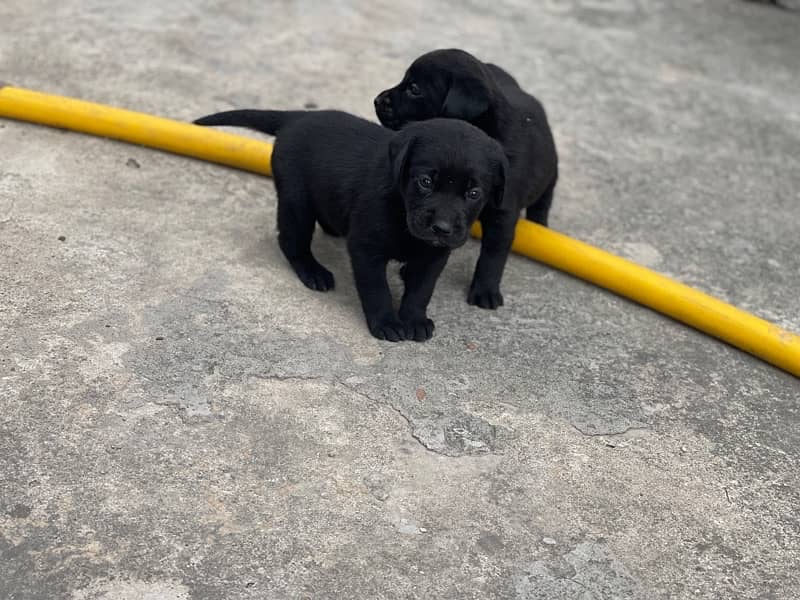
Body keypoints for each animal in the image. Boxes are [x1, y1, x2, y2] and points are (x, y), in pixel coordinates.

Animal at [194, 108, 506, 342]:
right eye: (425, 181)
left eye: (473, 193)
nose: (441, 227)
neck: (401, 210)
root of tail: (296, 118)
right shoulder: (365, 248)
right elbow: (376, 289)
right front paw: (387, 322)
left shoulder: (434, 256)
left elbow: (421, 290)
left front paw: (413, 320)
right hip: (297, 200)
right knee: (290, 240)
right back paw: (313, 272)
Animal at [374, 48, 556, 310]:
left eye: (415, 88)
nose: (377, 100)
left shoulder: (503, 214)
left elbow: (493, 255)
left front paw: (485, 291)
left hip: (550, 178)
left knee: (542, 204)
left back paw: (540, 227)